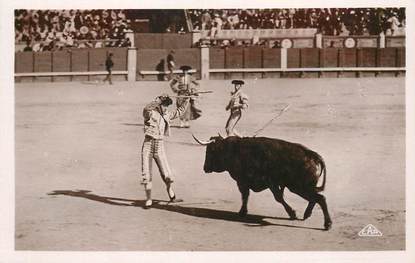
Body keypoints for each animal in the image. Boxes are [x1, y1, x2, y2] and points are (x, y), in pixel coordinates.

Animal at [193, 136, 334, 231]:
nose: (205, 168)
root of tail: (312, 155)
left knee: (320, 198)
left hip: (299, 187)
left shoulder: (247, 182)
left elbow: (274, 197)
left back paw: (327, 224)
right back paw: (307, 215)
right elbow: (250, 196)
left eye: (210, 151)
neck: (233, 150)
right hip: (303, 187)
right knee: (315, 198)